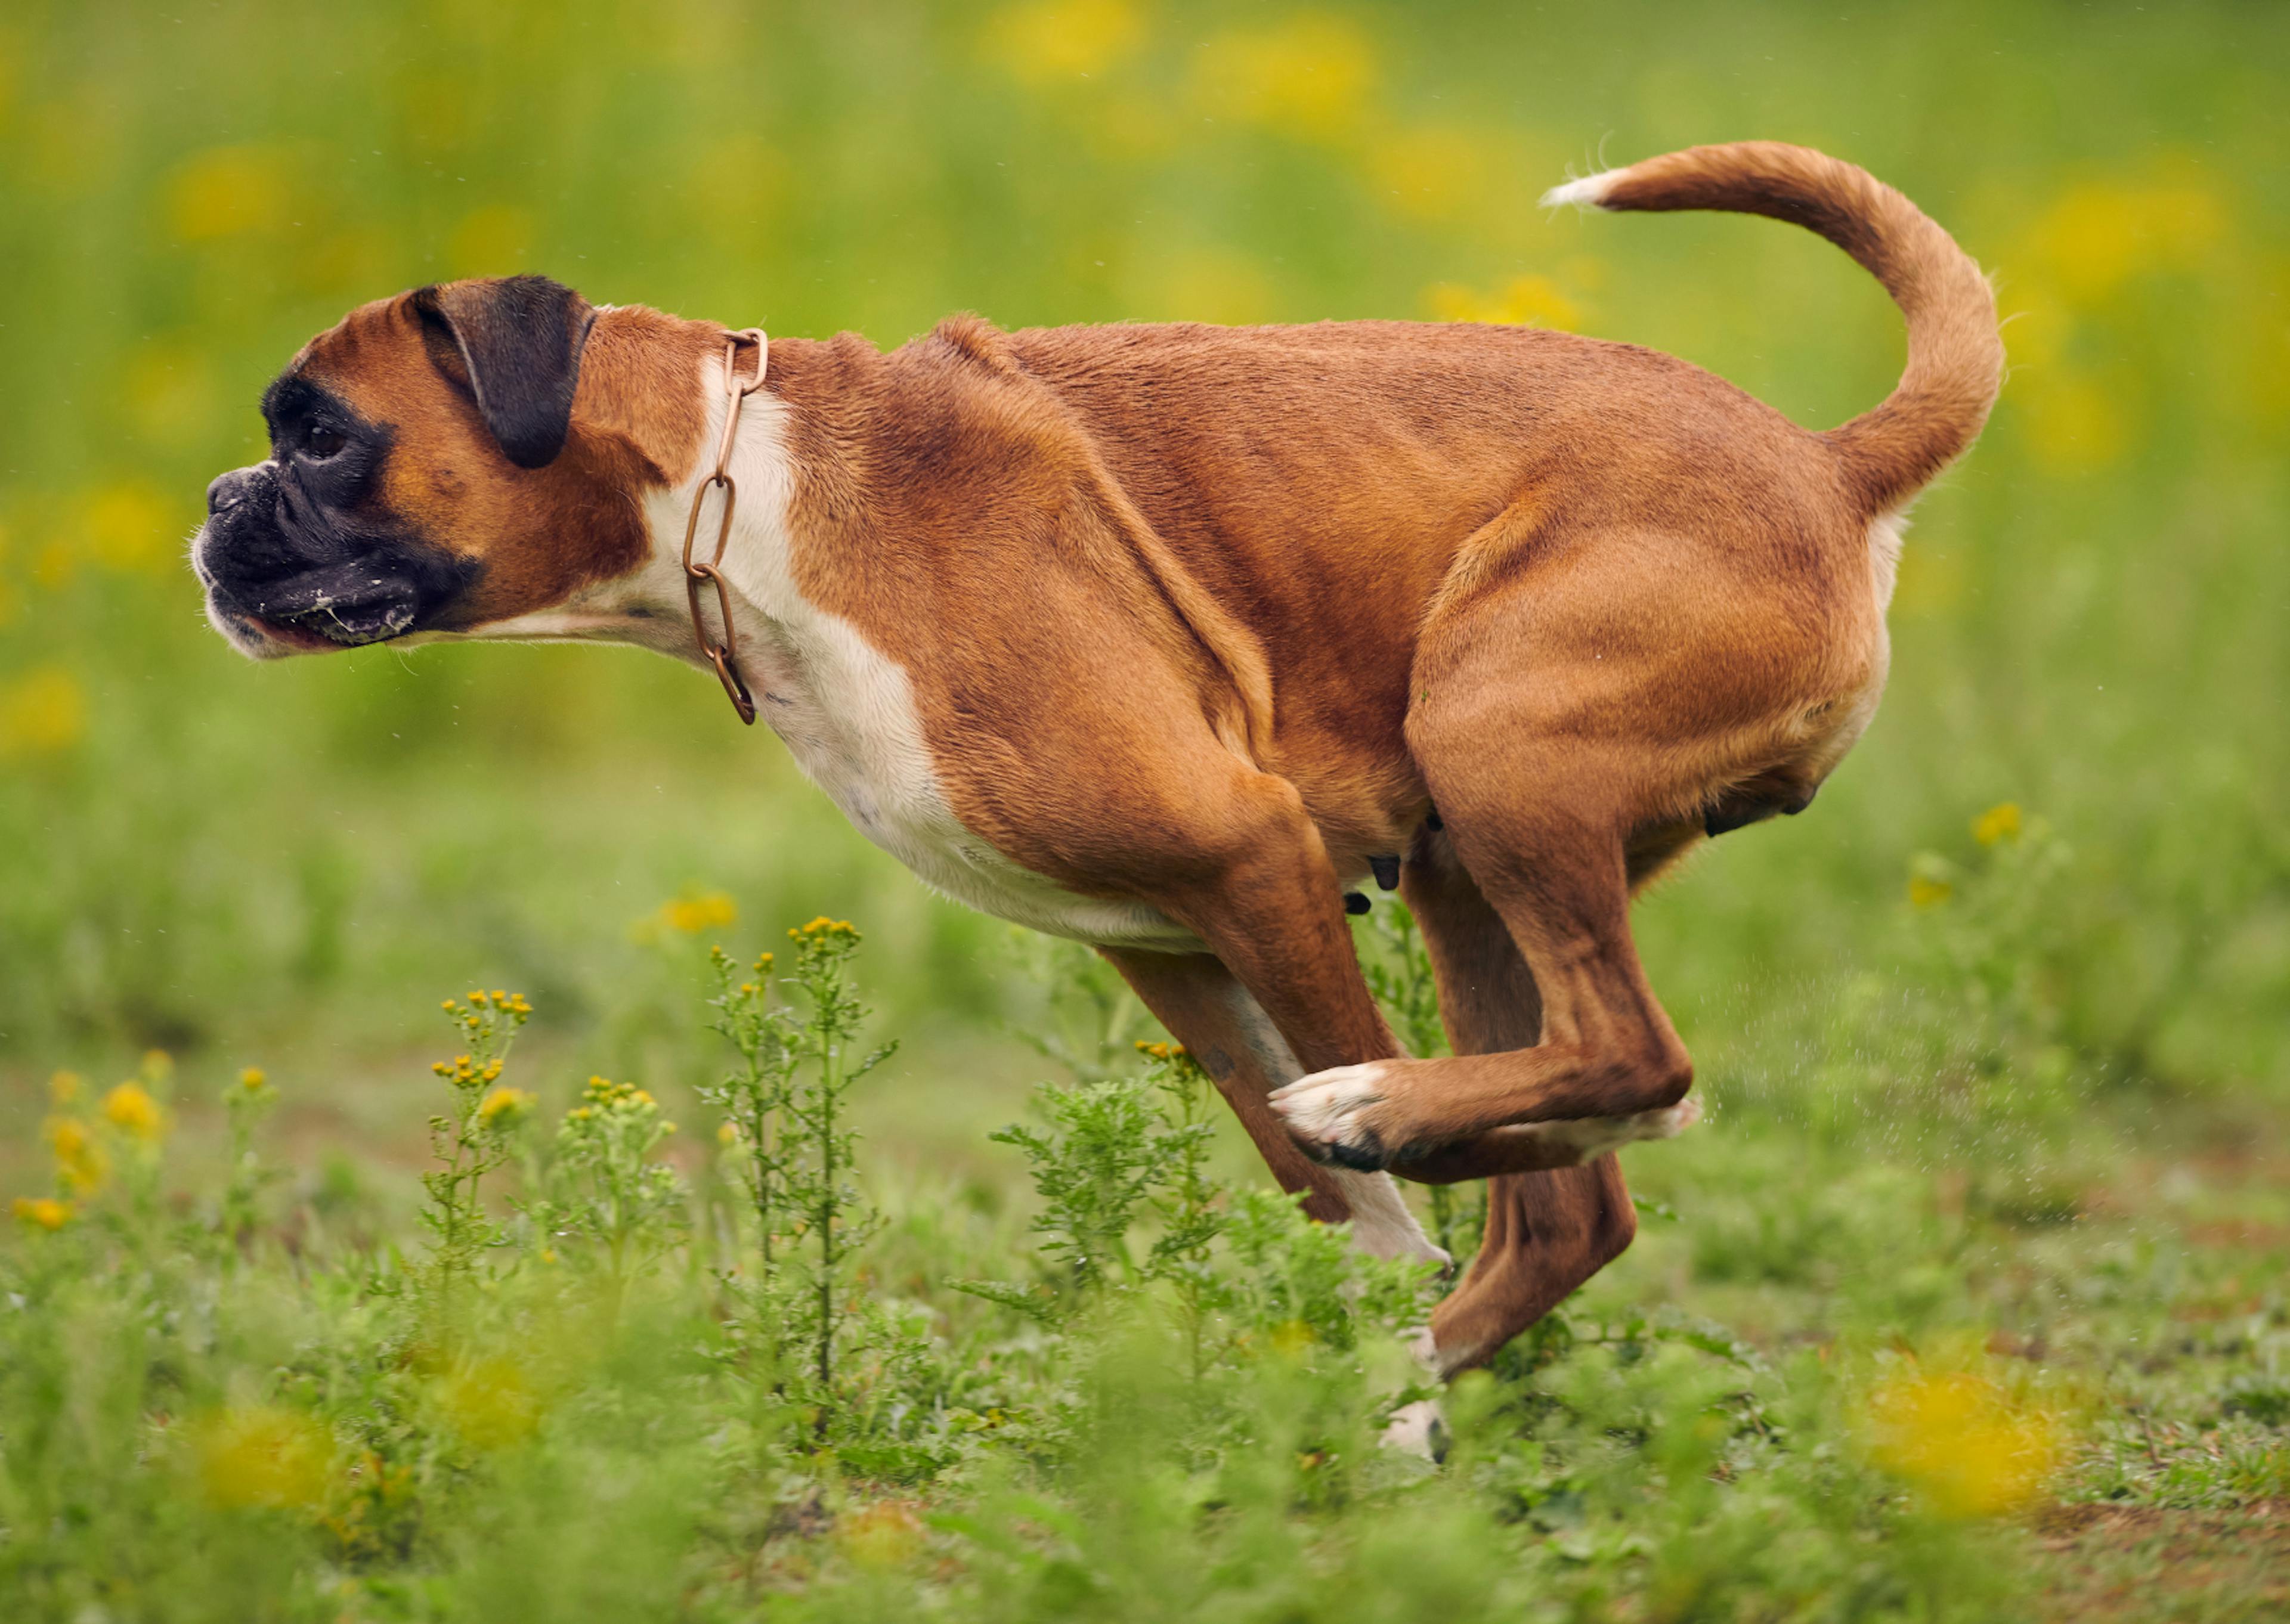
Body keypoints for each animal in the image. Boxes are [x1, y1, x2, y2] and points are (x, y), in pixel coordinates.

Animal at [187, 145, 1997, 1374]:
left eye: (321, 435)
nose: (215, 506)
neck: (734, 483)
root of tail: (1829, 465)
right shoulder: (1169, 941)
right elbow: (1319, 1179)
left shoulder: (1254, 855)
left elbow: (1357, 1125)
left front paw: (1373, 1135)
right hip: (1464, 864)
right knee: (1576, 1182)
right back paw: (1409, 1385)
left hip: (1497, 749)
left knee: (1625, 1068)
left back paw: (1412, 1150)